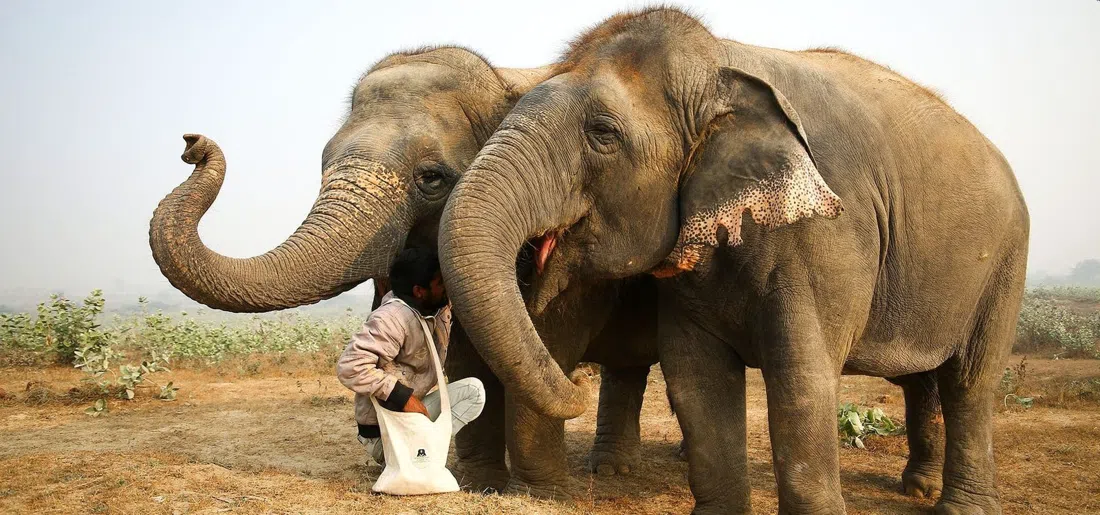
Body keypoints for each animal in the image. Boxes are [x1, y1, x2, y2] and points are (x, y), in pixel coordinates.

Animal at [439, 8, 1028, 515]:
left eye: (602, 133)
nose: (576, 385)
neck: (722, 65)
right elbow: (696, 379)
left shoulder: (828, 234)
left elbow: (801, 380)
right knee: (925, 379)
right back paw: (919, 487)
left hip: (1006, 261)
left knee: (970, 381)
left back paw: (959, 506)